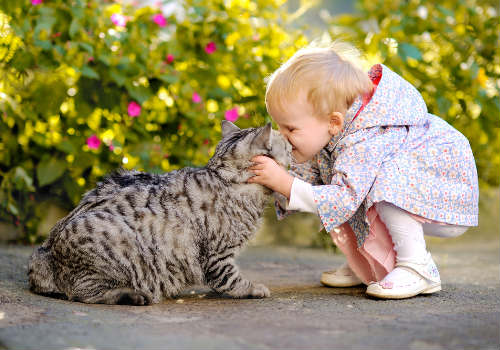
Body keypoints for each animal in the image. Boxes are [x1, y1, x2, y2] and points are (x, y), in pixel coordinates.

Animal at [27, 121, 292, 304]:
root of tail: (44, 254)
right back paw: (132, 295)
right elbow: (230, 280)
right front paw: (253, 288)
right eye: (287, 149)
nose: (293, 150)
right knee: (83, 294)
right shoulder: (218, 255)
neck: (223, 176)